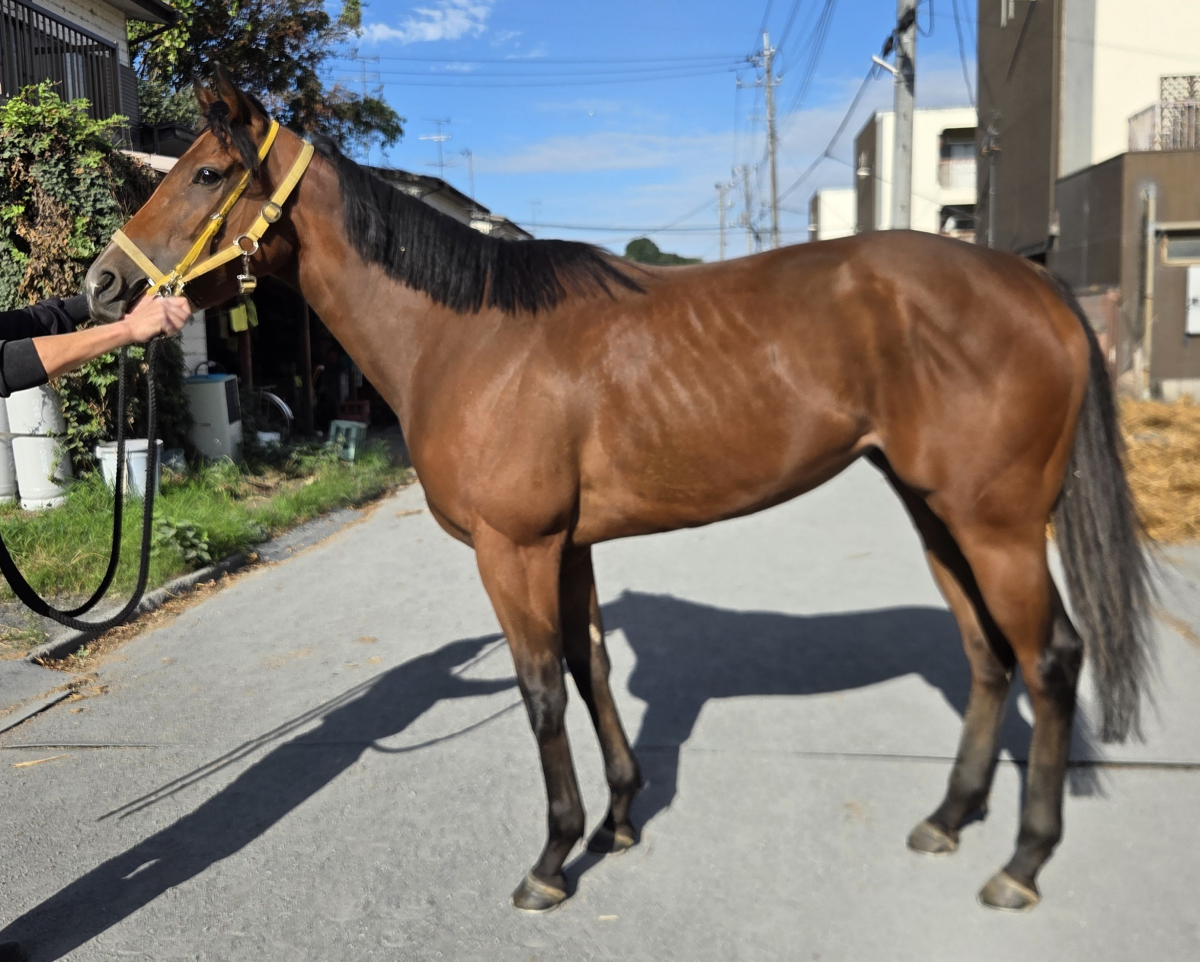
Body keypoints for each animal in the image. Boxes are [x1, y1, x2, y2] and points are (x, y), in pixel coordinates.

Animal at [84, 71, 1151, 916]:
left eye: (205, 175)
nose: (99, 287)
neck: (467, 337)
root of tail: (1030, 284)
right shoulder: (569, 546)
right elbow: (590, 667)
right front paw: (621, 820)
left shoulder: (513, 549)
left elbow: (541, 689)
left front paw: (554, 858)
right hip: (936, 512)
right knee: (985, 656)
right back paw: (948, 818)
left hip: (996, 523)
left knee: (1049, 659)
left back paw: (1021, 862)